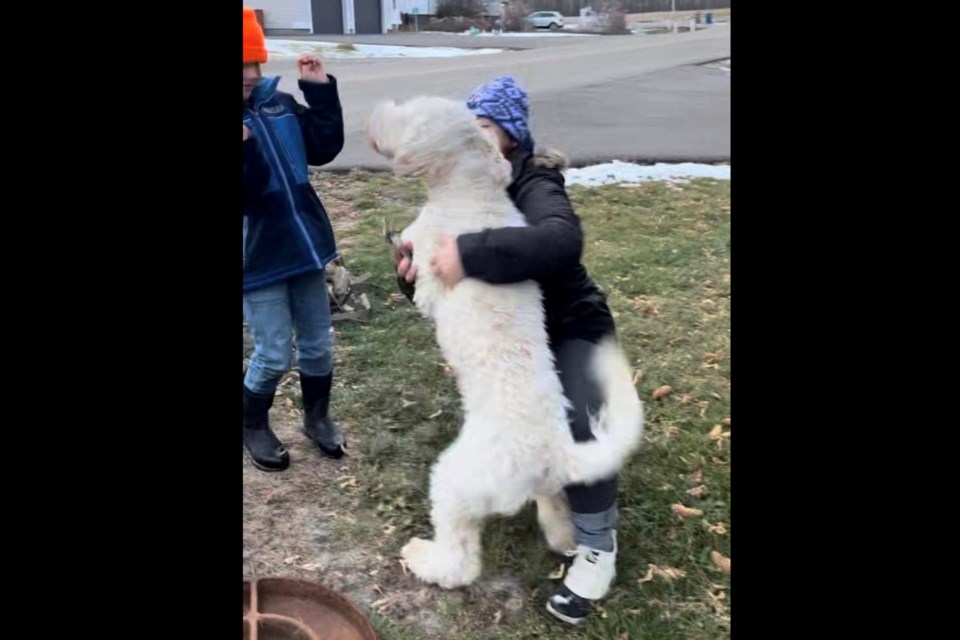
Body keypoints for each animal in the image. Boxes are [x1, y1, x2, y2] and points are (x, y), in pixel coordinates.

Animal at [368, 96, 644, 592]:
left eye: (411, 113)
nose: (372, 117)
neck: (471, 190)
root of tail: (553, 452)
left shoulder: (428, 266)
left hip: (454, 482)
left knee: (461, 561)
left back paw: (424, 558)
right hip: (549, 488)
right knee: (557, 517)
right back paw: (567, 539)